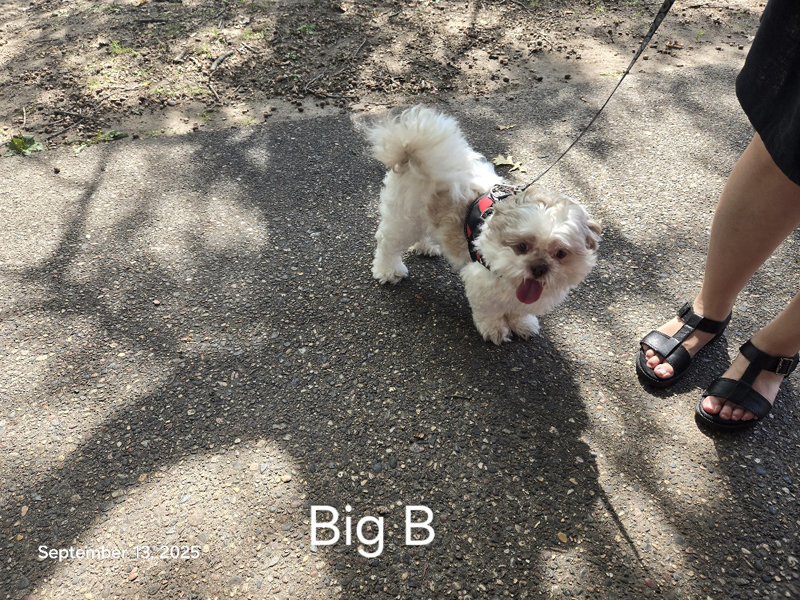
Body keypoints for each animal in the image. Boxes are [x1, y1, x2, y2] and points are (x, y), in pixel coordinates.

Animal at [366, 106, 601, 344]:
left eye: (560, 253)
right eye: (522, 246)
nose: (538, 267)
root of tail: (410, 149)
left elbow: (519, 309)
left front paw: (522, 322)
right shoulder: (481, 280)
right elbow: (489, 311)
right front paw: (494, 328)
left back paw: (426, 246)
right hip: (405, 220)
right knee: (387, 245)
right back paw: (388, 270)